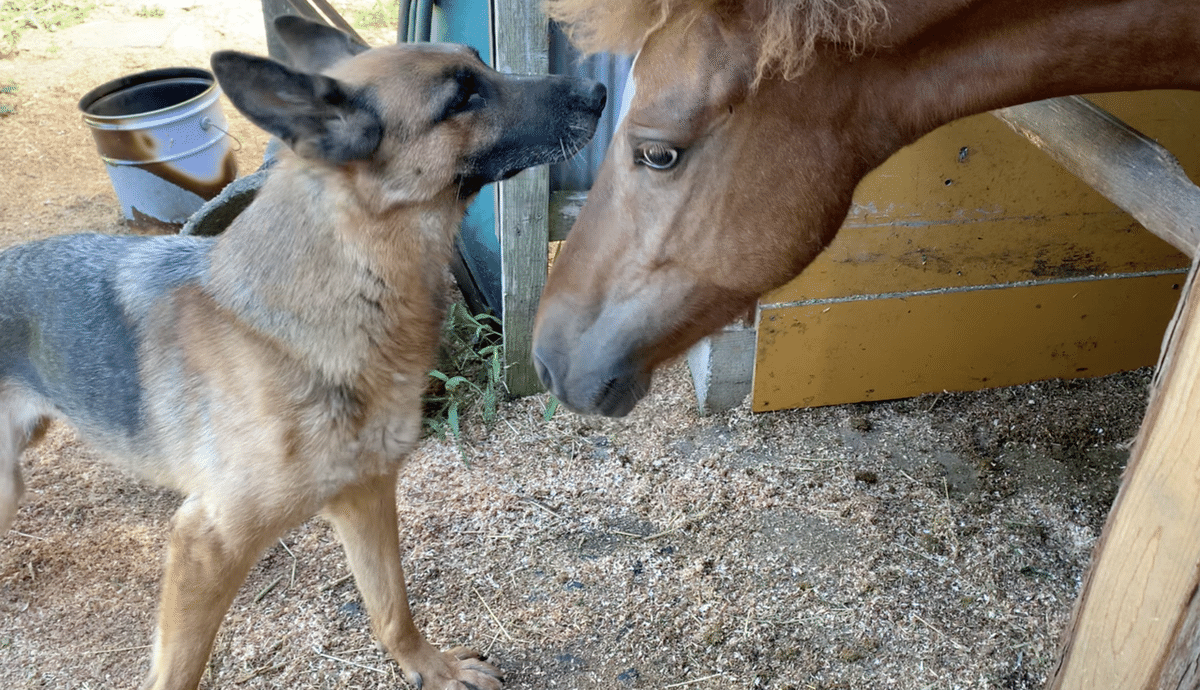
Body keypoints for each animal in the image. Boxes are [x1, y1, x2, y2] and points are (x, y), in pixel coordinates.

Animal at [0, 16, 600, 690]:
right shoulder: (205, 542)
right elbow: (177, 671)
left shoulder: (366, 496)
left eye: (481, 63)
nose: (601, 90)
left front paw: (433, 669)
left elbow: (392, 610)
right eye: (462, 97)